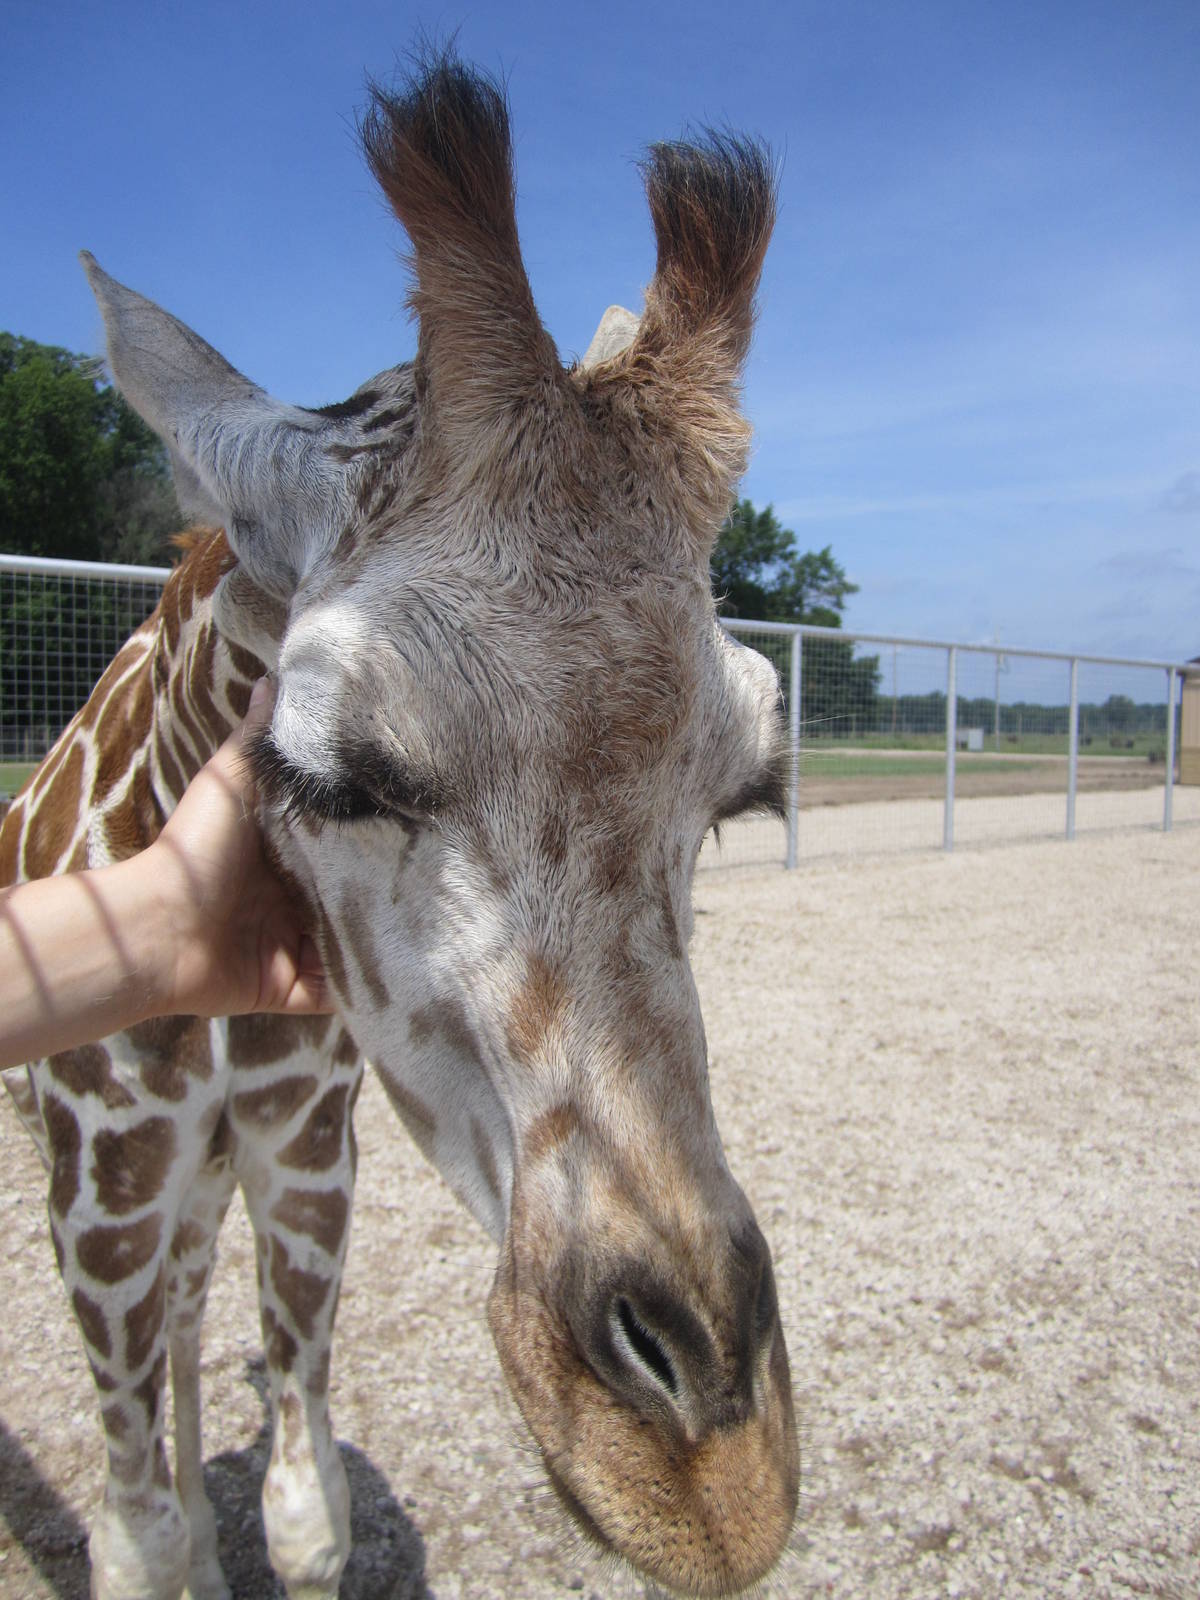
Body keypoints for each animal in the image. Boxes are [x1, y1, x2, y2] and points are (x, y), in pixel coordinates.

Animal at [0, 49, 798, 1600]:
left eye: (745, 791)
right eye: (327, 772)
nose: (708, 1476)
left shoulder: (311, 1154)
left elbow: (306, 1514)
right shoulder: (101, 1196)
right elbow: (136, 1531)